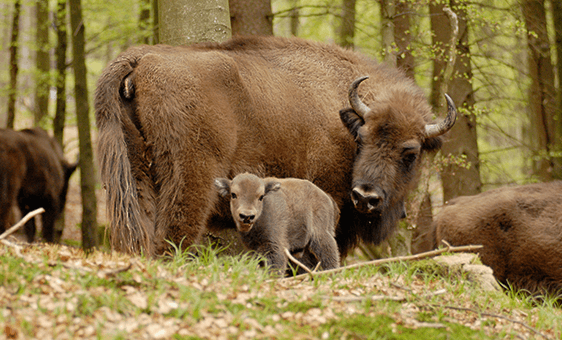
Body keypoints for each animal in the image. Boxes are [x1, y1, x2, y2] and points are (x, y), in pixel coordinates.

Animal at [95, 35, 456, 258]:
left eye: (410, 153)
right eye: (362, 138)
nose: (365, 197)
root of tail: (141, 58)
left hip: (135, 174)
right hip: (190, 179)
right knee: (171, 236)